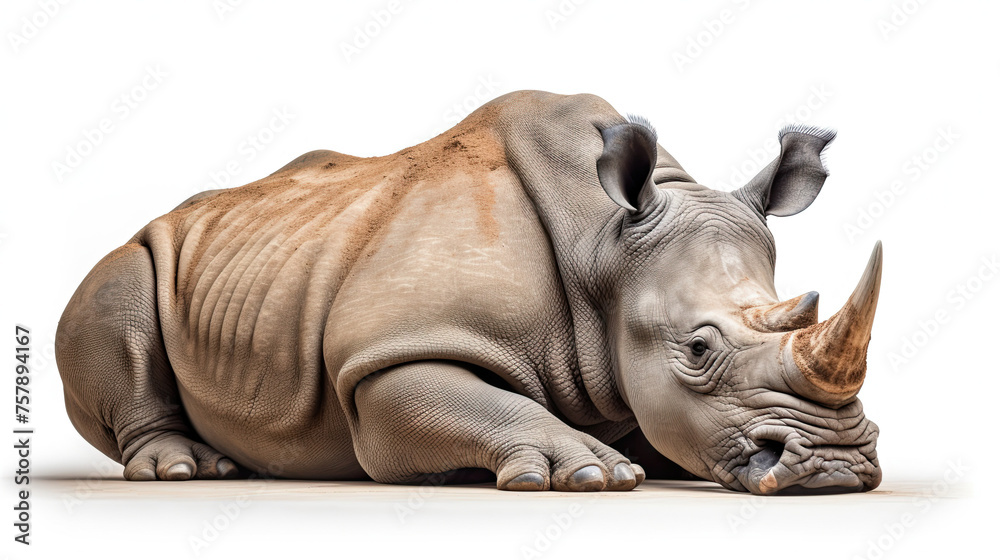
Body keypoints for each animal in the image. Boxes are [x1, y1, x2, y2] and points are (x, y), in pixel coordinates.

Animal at [56, 90, 881, 494]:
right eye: (699, 348)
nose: (835, 466)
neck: (605, 249)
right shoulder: (389, 349)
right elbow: (448, 396)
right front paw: (595, 473)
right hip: (136, 252)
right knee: (118, 291)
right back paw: (186, 471)